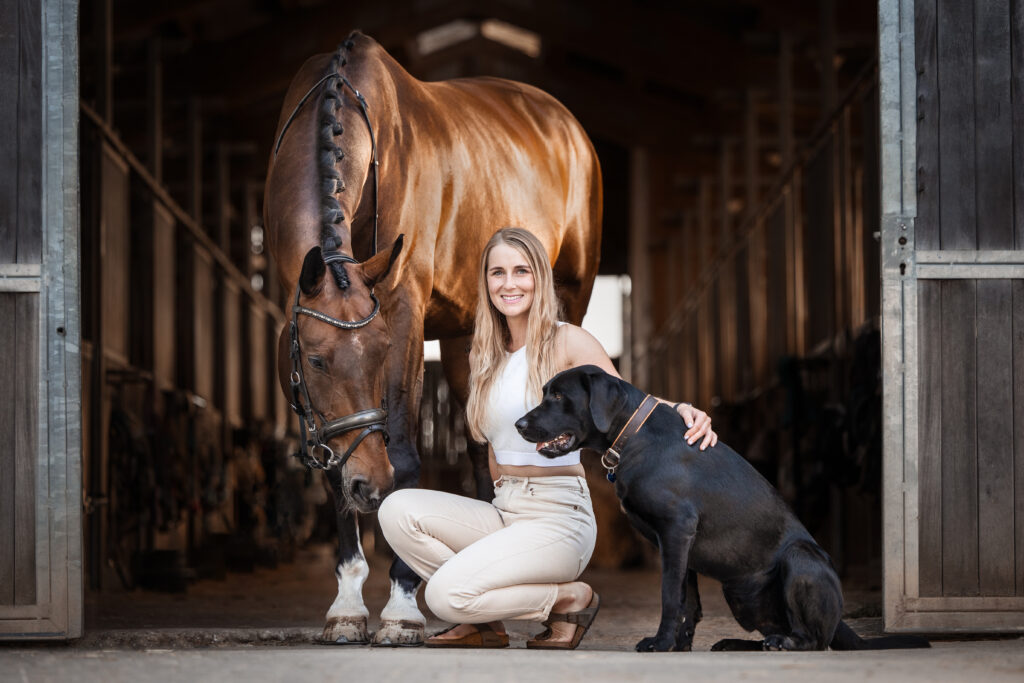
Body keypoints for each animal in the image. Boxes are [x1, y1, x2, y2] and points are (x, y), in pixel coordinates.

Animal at [262, 30, 598, 647]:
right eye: (316, 362)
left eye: (378, 355)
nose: (370, 485)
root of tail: (564, 122)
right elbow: (333, 464)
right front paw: (347, 606)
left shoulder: (404, 314)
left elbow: (405, 452)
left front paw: (401, 610)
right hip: (472, 337)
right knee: (482, 452)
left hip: (570, 297)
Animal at [516, 366, 925, 655]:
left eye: (558, 396)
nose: (519, 424)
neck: (633, 435)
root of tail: (841, 621)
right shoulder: (681, 544)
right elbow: (689, 601)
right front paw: (679, 645)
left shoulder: (676, 530)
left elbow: (670, 595)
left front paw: (660, 644)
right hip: (739, 592)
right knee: (776, 629)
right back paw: (742, 644)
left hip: (800, 559)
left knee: (814, 639)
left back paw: (786, 644)